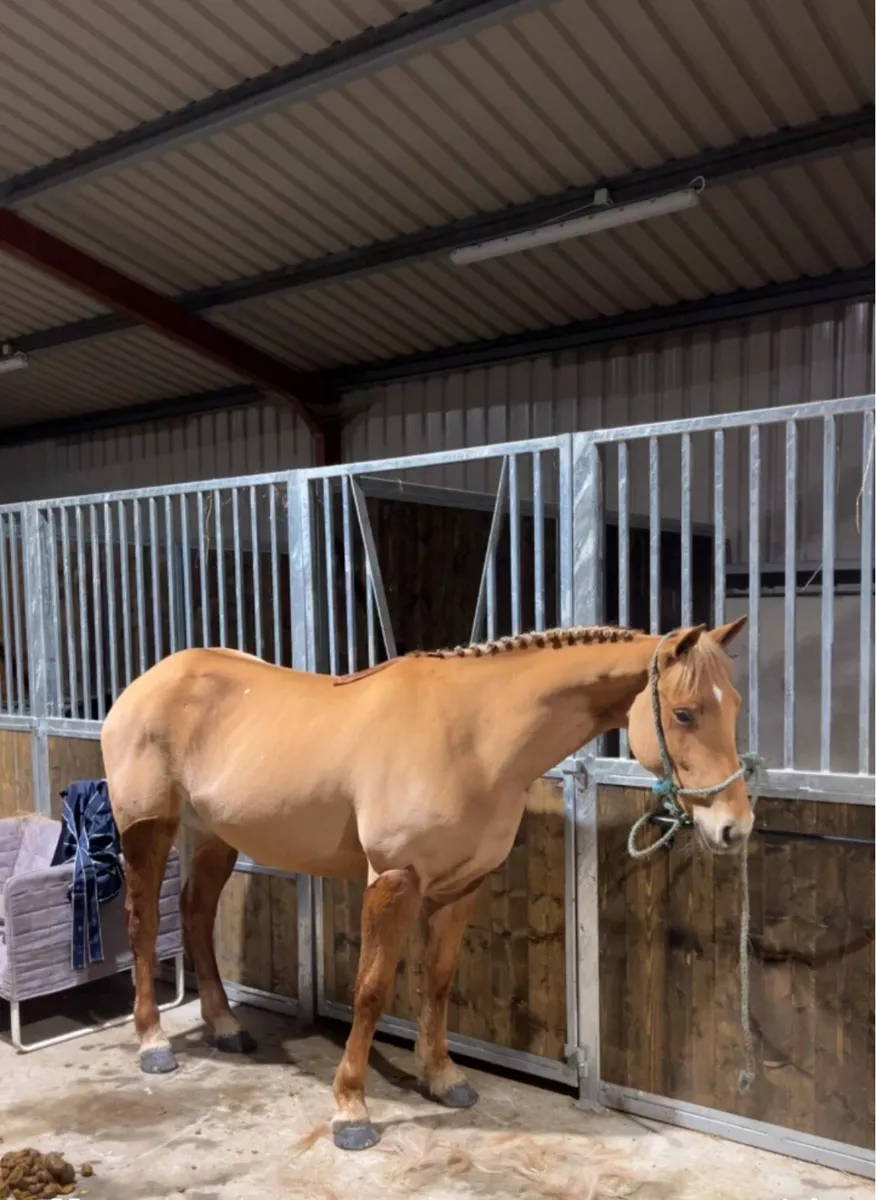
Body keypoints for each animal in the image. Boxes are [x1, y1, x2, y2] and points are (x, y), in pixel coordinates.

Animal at [100, 617, 750, 1152]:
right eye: (685, 712)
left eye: (736, 706)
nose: (734, 828)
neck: (473, 736)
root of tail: (146, 683)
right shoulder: (394, 879)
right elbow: (370, 990)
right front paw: (351, 1110)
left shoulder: (462, 886)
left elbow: (437, 983)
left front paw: (442, 1078)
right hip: (148, 828)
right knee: (143, 923)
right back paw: (153, 1043)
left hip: (213, 834)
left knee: (195, 914)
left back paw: (226, 1026)